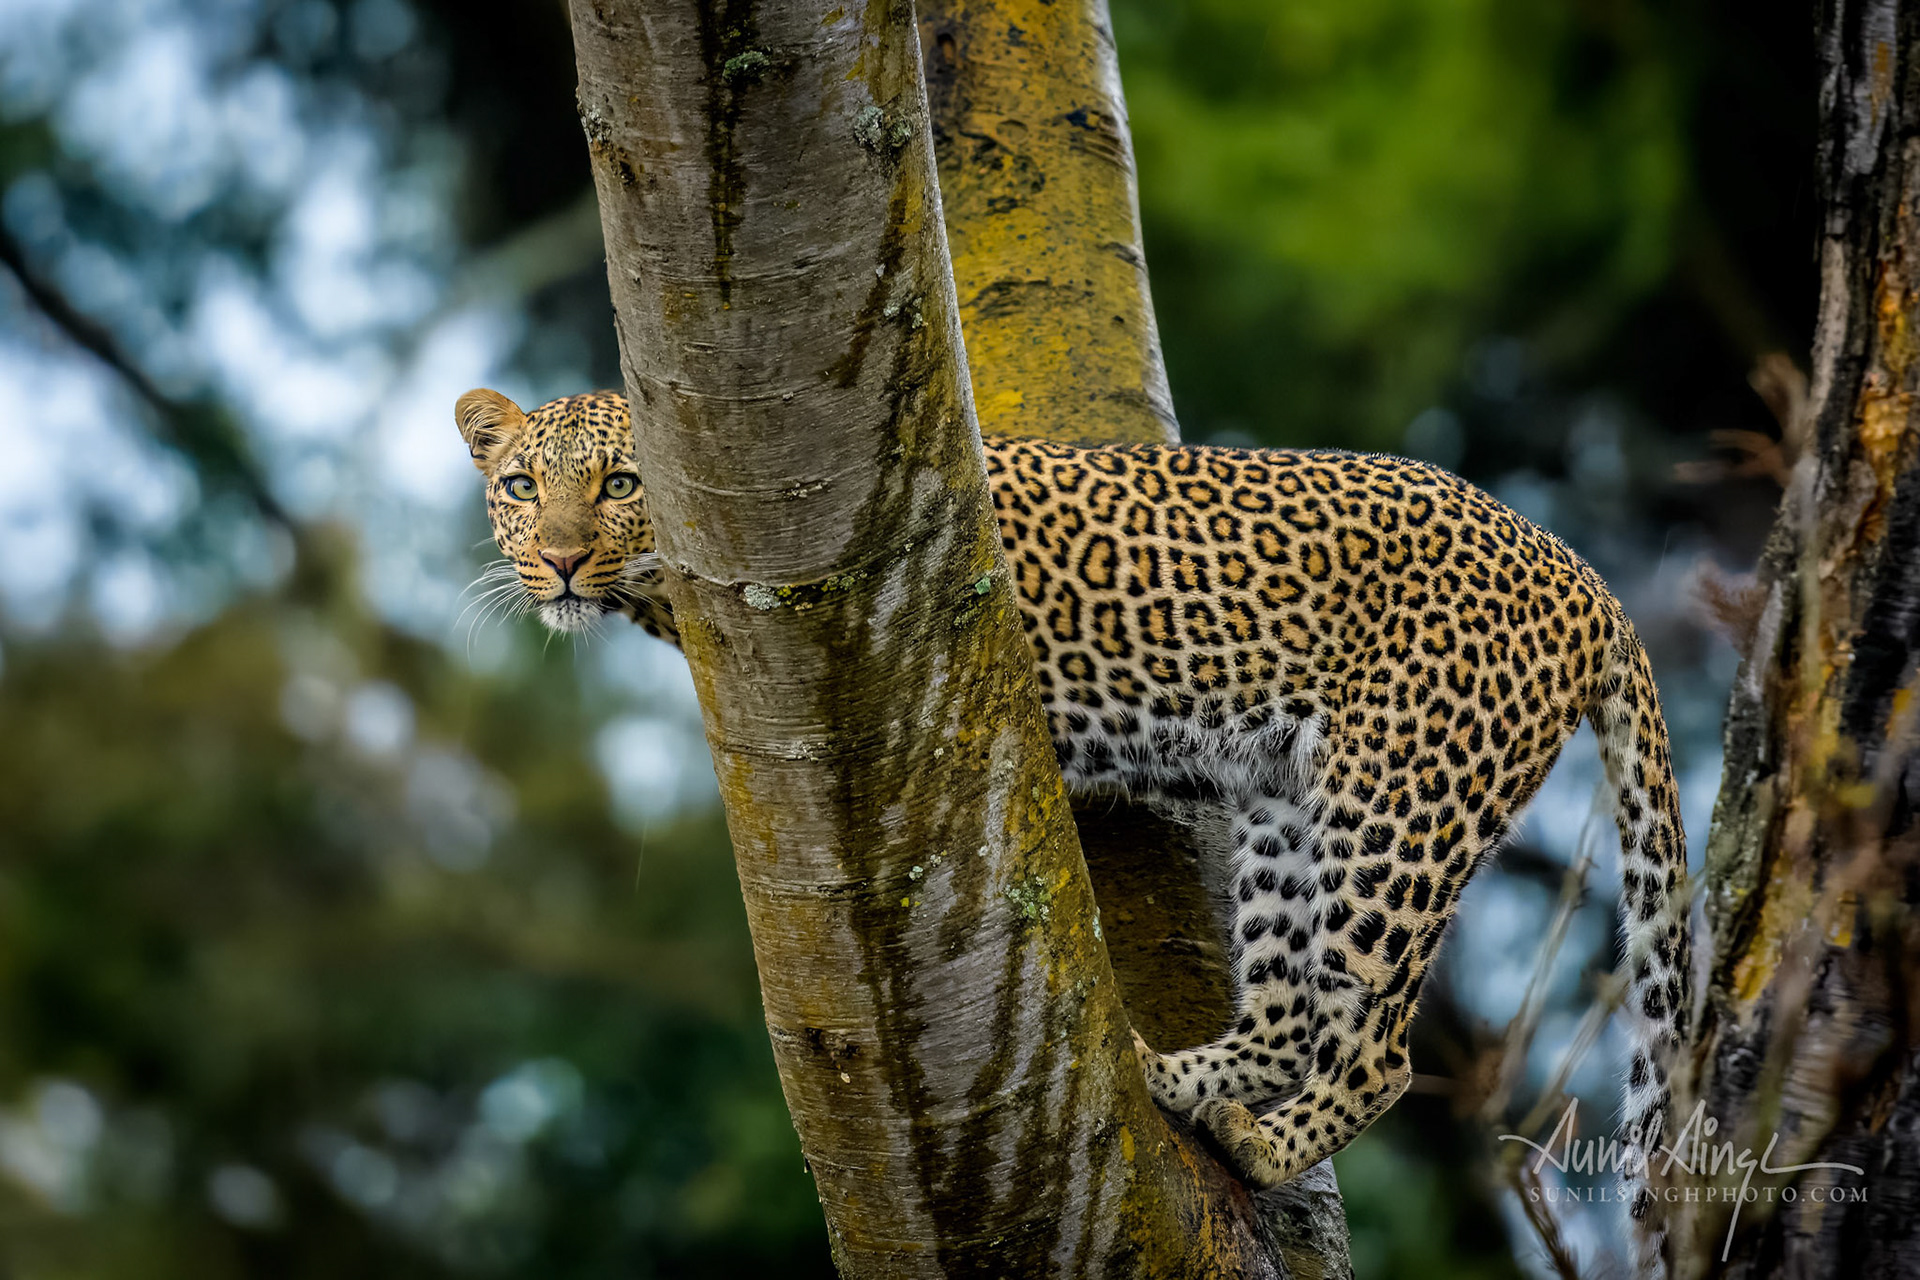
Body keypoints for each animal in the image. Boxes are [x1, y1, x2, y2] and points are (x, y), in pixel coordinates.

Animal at [455, 386, 1693, 1272]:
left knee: (1380, 1046)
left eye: (619, 482)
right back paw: (1181, 1081)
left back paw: (1263, 1137)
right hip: (1285, 804)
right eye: (520, 484)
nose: (560, 559)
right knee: (1286, 1013)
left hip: (1402, 800)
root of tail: (1584, 574)